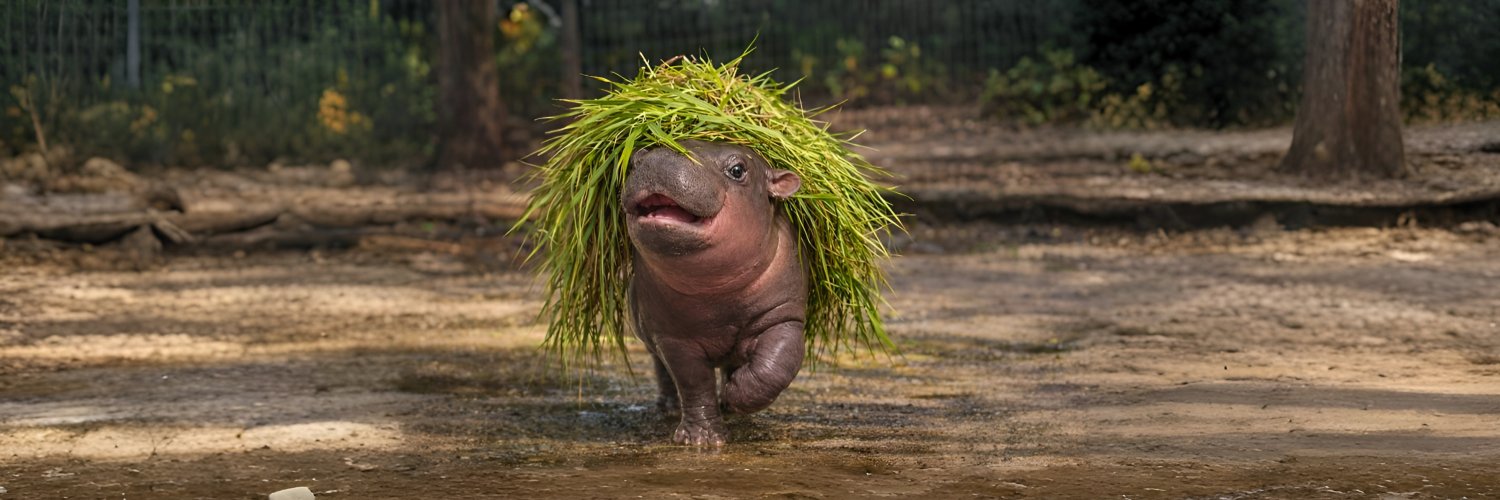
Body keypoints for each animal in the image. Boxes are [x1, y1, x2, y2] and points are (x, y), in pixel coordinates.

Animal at [622, 140, 806, 447]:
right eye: (636, 159)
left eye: (738, 169)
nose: (661, 156)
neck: (718, 287)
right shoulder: (672, 336)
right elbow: (693, 382)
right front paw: (703, 440)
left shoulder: (784, 314)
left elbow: (778, 363)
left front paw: (735, 394)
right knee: (663, 372)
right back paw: (669, 408)